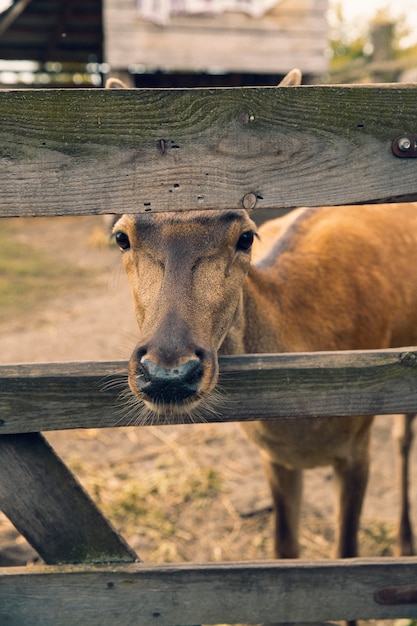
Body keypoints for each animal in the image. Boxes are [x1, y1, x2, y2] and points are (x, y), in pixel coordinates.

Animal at [108, 72, 416, 560]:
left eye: (246, 236)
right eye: (122, 235)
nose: (168, 372)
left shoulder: (358, 445)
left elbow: (345, 553)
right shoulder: (276, 458)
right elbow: (284, 550)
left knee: (404, 438)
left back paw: (406, 539)